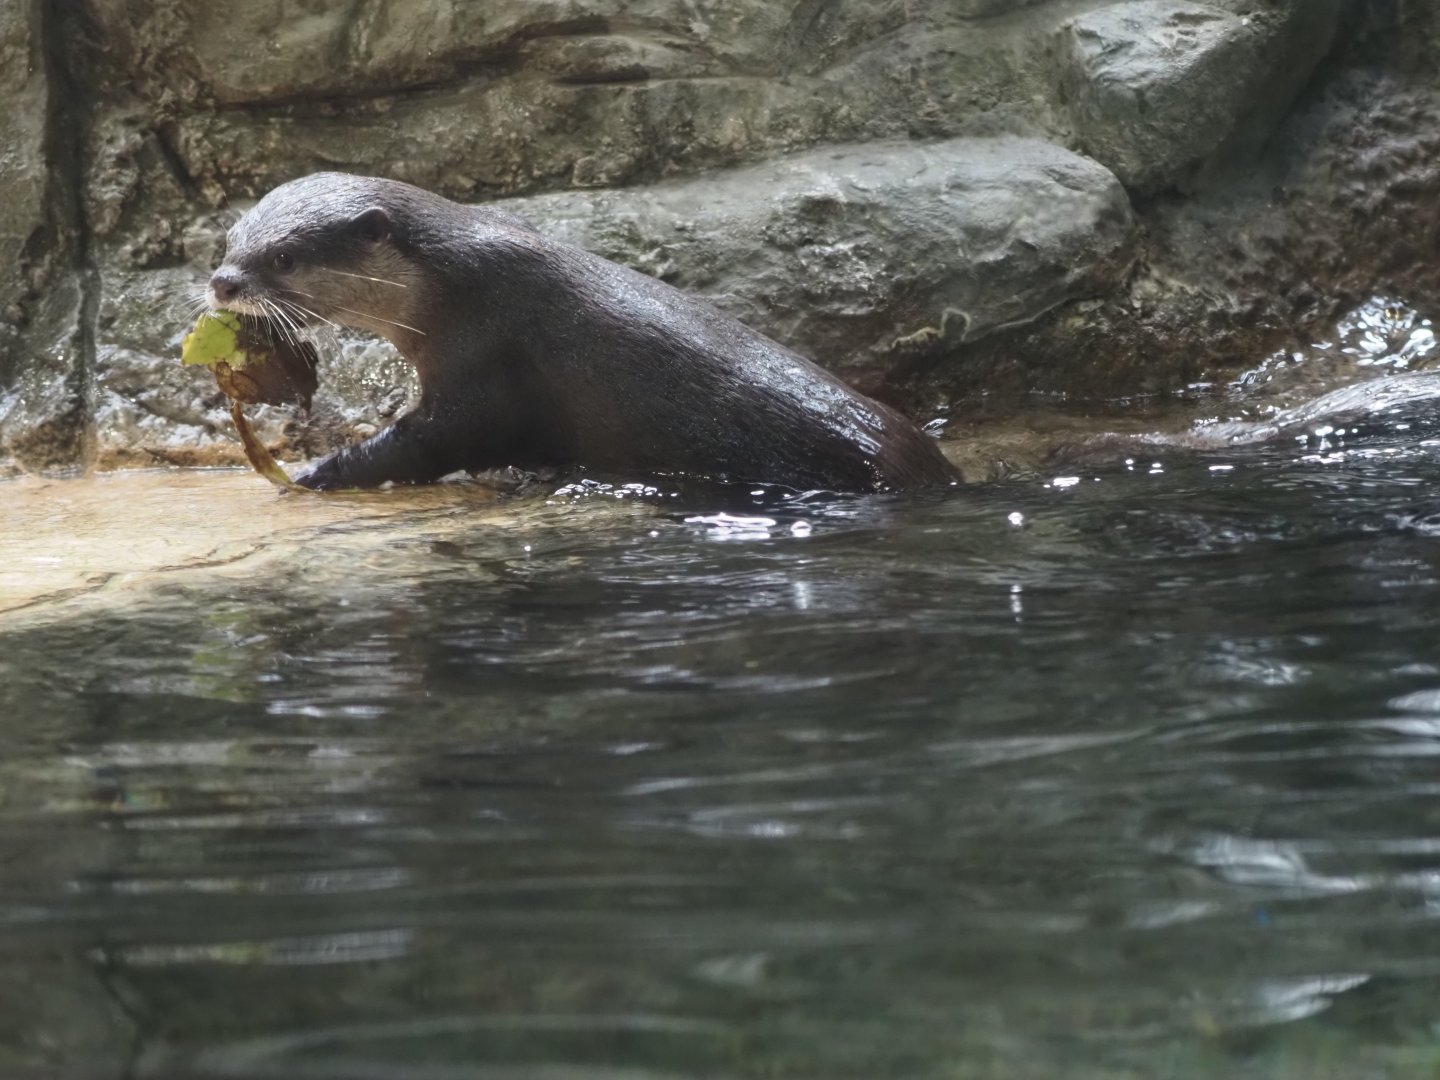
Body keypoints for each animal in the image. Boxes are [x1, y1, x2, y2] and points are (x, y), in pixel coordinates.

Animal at [208, 173, 958, 493]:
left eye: (285, 258)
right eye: (232, 240)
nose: (221, 281)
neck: (455, 288)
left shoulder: (484, 356)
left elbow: (434, 440)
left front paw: (313, 471)